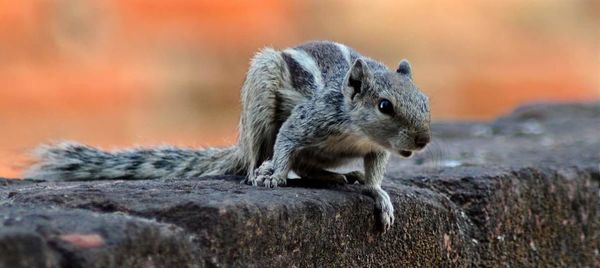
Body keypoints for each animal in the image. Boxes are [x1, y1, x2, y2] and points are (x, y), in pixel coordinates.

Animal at [25, 40, 432, 231]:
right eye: (384, 106)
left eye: (425, 100)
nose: (423, 141)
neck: (354, 128)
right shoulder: (307, 119)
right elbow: (286, 144)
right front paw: (273, 175)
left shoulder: (376, 148)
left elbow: (376, 174)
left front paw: (379, 195)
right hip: (260, 92)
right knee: (265, 155)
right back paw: (260, 171)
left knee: (310, 167)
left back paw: (342, 175)